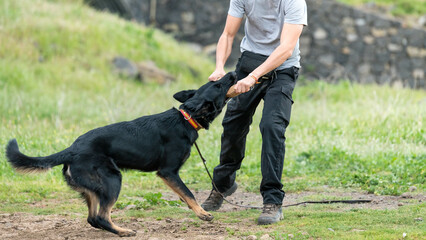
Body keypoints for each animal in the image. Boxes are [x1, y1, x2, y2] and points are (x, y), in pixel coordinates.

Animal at [5, 71, 236, 236]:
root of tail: (72, 149)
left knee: (93, 218)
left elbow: (184, 195)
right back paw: (123, 231)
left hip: (94, 188)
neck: (186, 117)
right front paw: (203, 214)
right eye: (218, 85)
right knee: (101, 217)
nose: (233, 72)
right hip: (113, 179)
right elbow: (188, 193)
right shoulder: (168, 172)